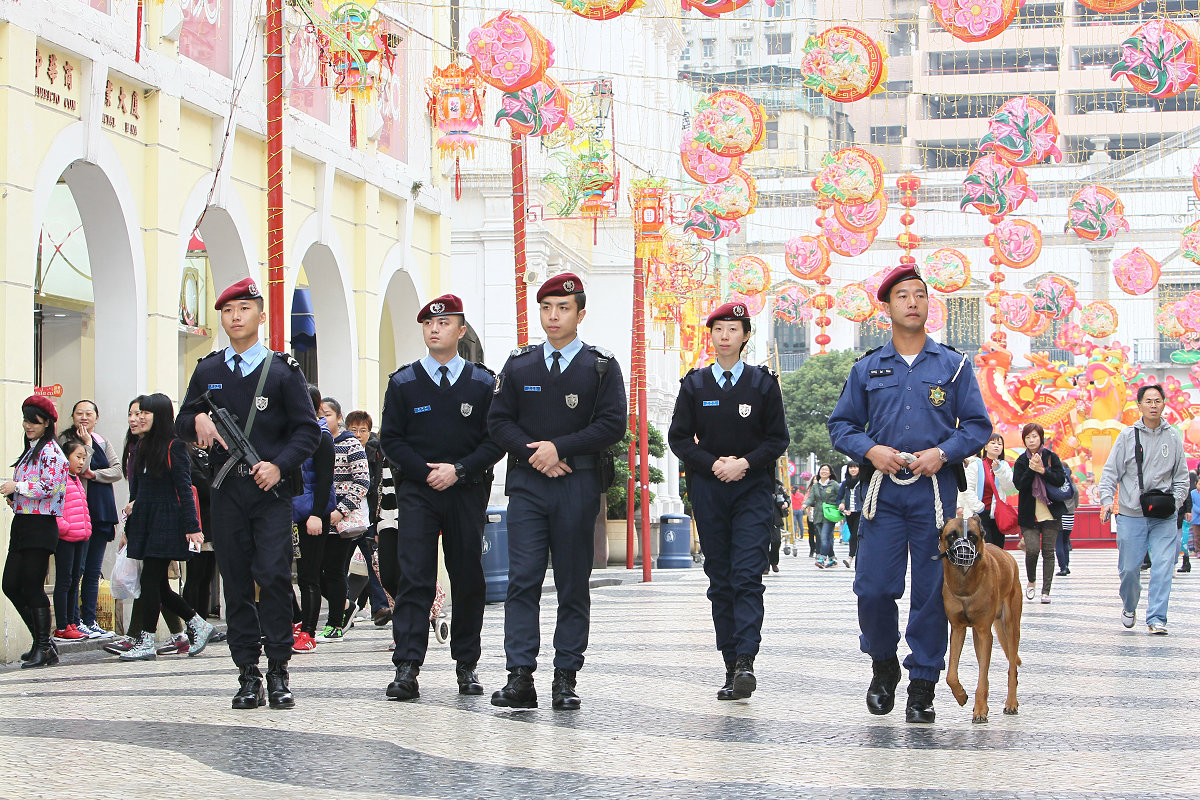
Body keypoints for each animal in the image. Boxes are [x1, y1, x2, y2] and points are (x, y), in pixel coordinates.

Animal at [936, 513, 1022, 724]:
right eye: (952, 535)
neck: (966, 586)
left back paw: (1011, 703)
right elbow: (951, 675)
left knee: (1012, 668)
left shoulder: (984, 633)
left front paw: (981, 710)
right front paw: (961, 696)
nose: (964, 550)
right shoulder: (958, 630)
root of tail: (1009, 556)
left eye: (972, 536)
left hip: (1010, 627)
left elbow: (982, 677)